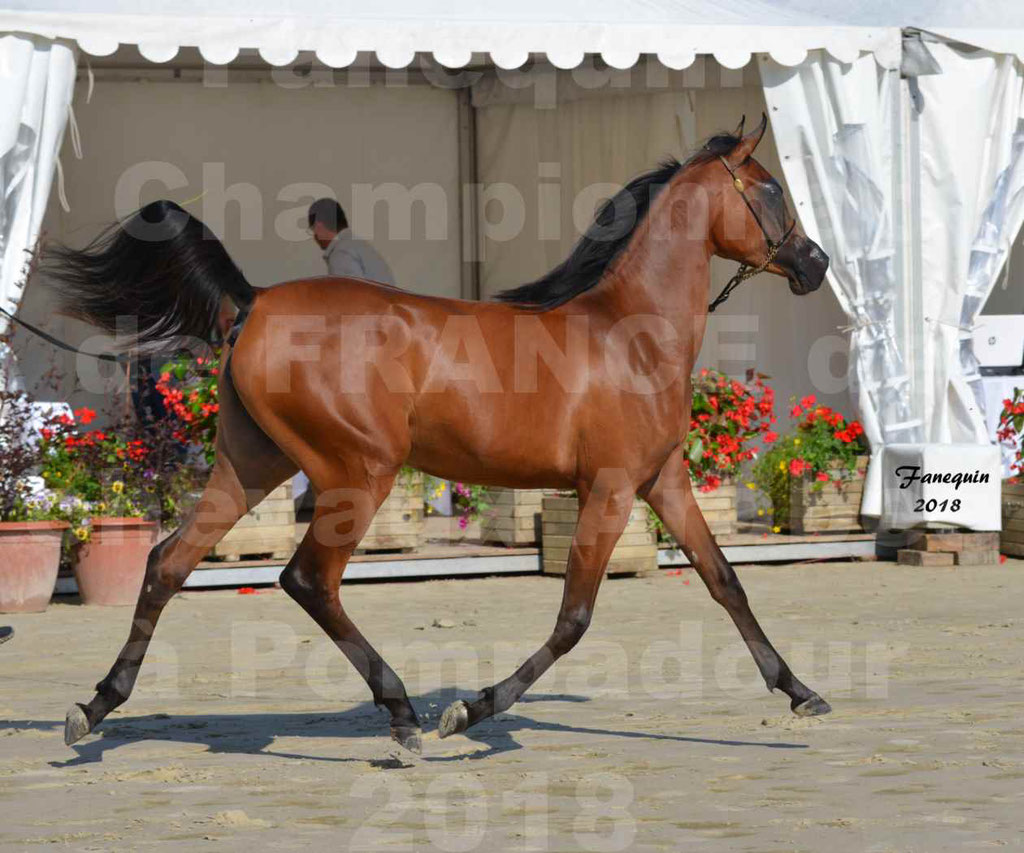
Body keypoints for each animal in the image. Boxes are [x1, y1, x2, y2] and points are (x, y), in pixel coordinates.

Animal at [49, 113, 831, 753]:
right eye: (769, 191)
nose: (816, 264)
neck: (629, 335)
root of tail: (254, 302)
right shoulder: (608, 490)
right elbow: (574, 617)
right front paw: (470, 710)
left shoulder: (661, 480)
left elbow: (725, 580)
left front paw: (801, 692)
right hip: (358, 472)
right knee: (306, 579)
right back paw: (400, 714)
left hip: (251, 466)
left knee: (167, 562)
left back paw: (95, 706)